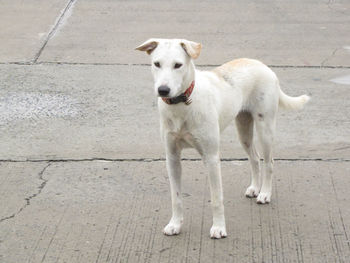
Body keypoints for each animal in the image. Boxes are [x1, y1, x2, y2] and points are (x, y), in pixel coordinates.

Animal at [136, 38, 308, 239]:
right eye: (157, 64)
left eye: (178, 65)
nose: (163, 90)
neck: (183, 104)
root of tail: (262, 65)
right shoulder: (172, 158)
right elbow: (176, 197)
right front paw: (175, 224)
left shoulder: (211, 158)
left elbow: (216, 198)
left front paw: (219, 228)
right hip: (243, 130)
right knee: (254, 158)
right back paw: (255, 188)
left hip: (265, 129)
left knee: (269, 162)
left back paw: (265, 193)